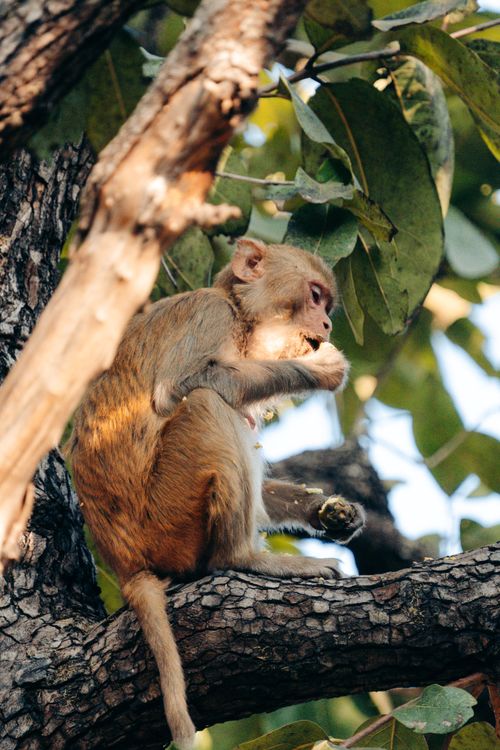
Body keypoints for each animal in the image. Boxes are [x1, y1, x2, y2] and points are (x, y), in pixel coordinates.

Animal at [67, 238, 365, 750]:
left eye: (327, 306)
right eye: (314, 296)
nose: (326, 325)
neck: (240, 319)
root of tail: (125, 563)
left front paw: (332, 512)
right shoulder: (210, 317)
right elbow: (184, 387)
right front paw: (322, 368)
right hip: (168, 521)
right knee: (208, 402)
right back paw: (246, 558)